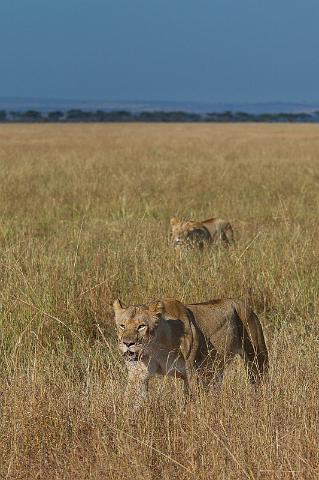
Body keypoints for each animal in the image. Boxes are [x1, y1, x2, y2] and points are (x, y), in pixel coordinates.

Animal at [114, 298, 268, 406]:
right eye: (122, 326)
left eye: (141, 326)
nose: (127, 343)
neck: (157, 347)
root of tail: (244, 304)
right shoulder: (138, 374)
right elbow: (131, 400)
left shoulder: (192, 373)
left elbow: (193, 402)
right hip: (216, 369)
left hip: (256, 358)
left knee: (259, 382)